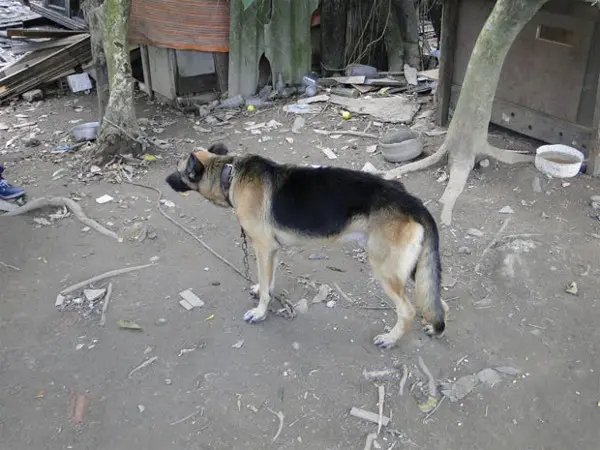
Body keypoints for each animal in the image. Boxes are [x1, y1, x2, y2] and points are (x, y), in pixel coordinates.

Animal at [166, 143, 448, 348]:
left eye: (178, 169)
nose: (165, 180)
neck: (229, 173)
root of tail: (412, 202)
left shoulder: (263, 248)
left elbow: (266, 288)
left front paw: (260, 312)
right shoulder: (271, 250)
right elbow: (268, 281)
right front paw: (262, 289)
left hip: (385, 269)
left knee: (408, 310)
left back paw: (390, 339)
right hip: (414, 269)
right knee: (436, 302)